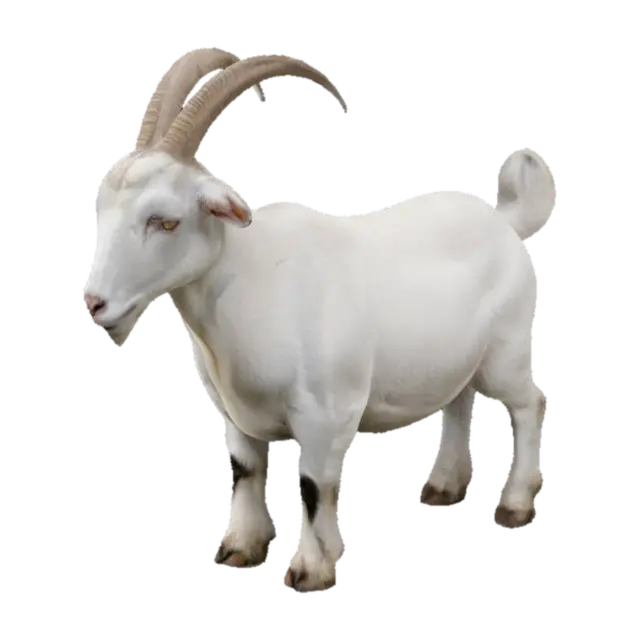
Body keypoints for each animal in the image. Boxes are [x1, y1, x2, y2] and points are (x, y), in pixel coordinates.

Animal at [83, 46, 556, 594]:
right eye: (104, 208)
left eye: (165, 221)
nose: (95, 304)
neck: (256, 286)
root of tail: (507, 222)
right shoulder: (232, 411)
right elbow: (244, 470)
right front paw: (240, 550)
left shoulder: (327, 412)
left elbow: (313, 485)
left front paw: (309, 572)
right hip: (450, 358)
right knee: (459, 402)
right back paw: (441, 487)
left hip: (506, 351)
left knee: (529, 403)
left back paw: (514, 506)